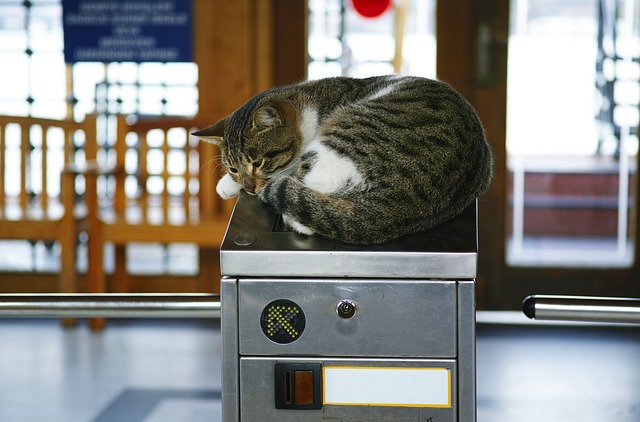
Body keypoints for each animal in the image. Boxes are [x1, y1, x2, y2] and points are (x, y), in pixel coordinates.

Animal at [192, 76, 492, 244]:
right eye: (234, 167)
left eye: (259, 162)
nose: (249, 187)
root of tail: (402, 202)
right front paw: (229, 184)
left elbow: (283, 173)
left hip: (336, 146)